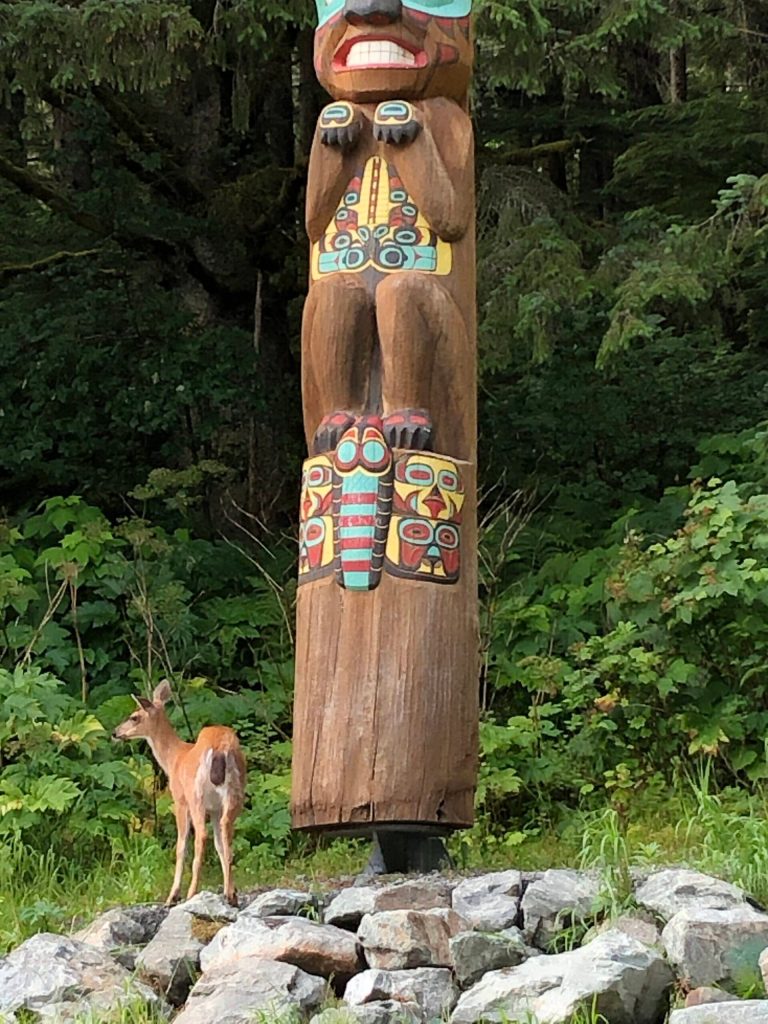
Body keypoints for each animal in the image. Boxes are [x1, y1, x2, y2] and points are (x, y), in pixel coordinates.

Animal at [113, 680, 246, 906]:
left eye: (134, 716)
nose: (115, 732)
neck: (174, 758)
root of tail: (221, 747)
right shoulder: (215, 808)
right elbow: (220, 845)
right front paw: (231, 891)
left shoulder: (179, 799)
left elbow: (181, 845)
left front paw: (172, 895)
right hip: (235, 795)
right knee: (226, 835)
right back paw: (230, 895)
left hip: (196, 795)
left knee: (201, 836)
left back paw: (192, 893)